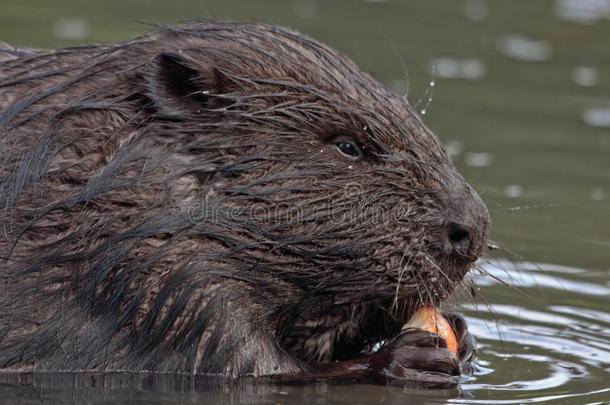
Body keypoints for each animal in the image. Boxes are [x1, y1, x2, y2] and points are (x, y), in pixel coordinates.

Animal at [0, 22, 486, 388]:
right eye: (348, 146)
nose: (472, 230)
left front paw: (461, 333)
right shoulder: (157, 280)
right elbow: (251, 366)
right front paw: (410, 356)